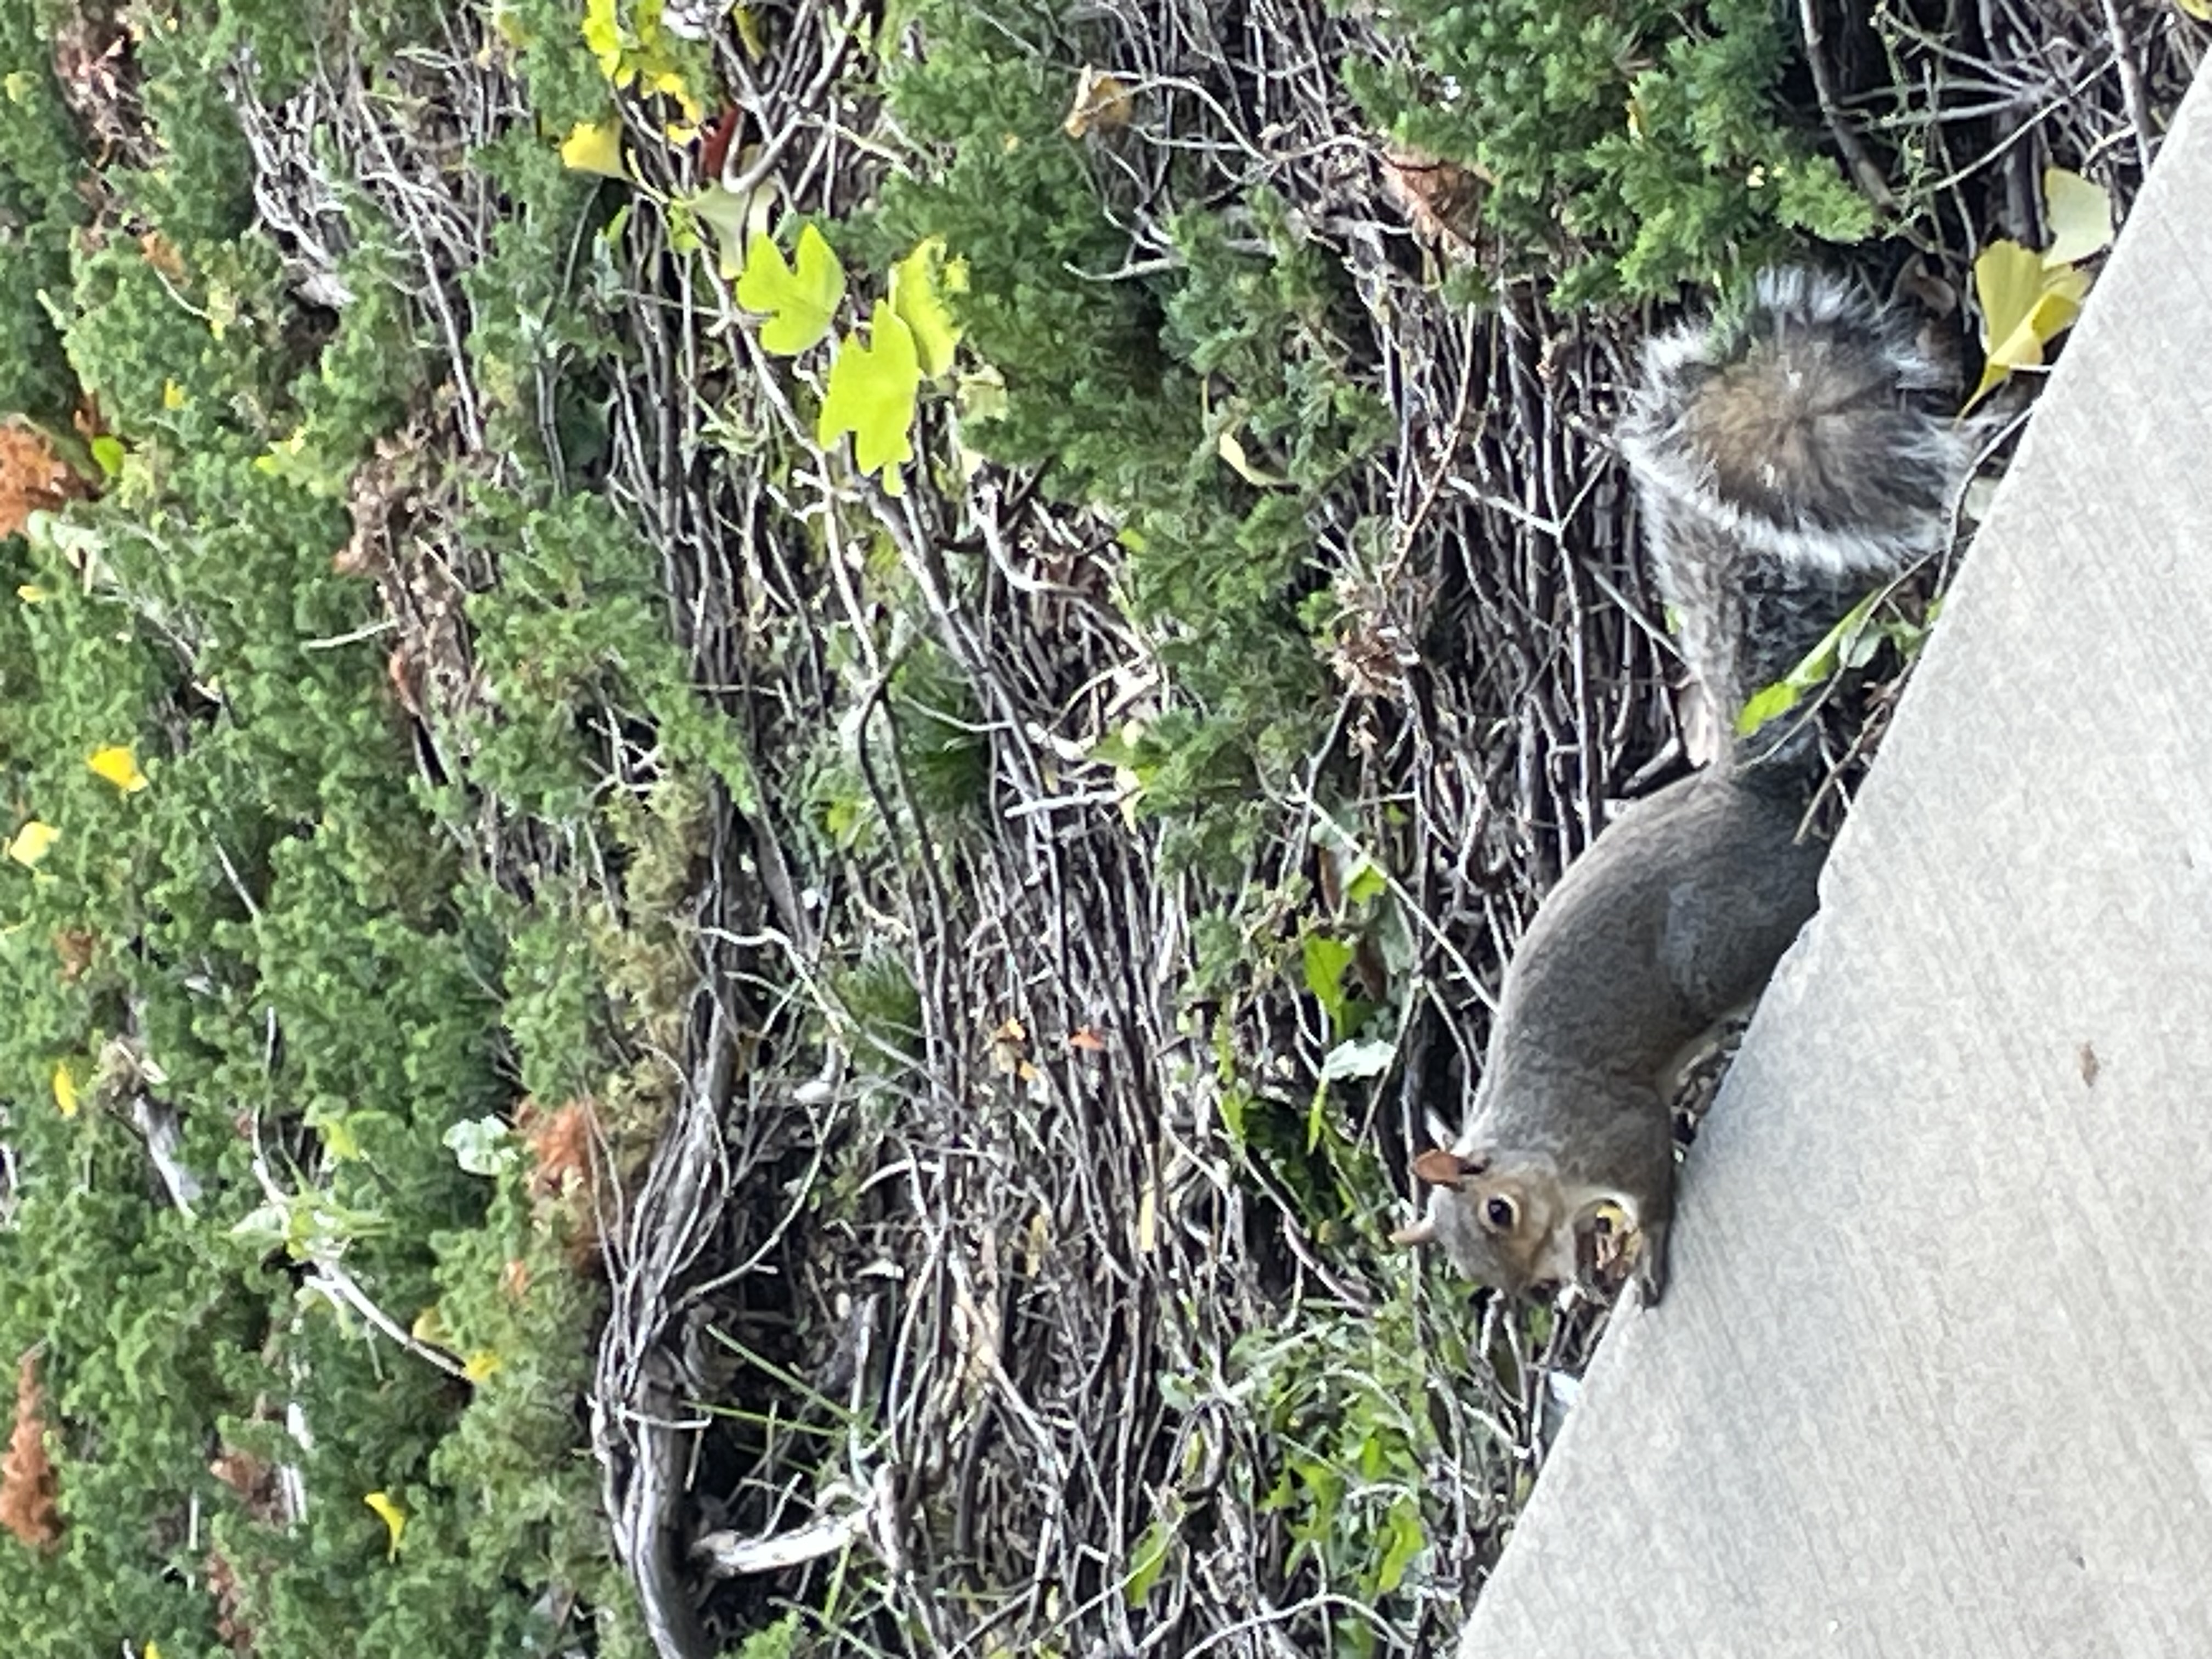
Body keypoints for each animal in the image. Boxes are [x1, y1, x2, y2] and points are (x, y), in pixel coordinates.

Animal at [1396, 268, 1968, 1304]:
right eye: (1475, 1268)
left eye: (1496, 1211)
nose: (1551, 1290)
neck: (1536, 1143)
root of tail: (1744, 790)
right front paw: (1601, 1268)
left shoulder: (1614, 1130)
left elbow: (1651, 1185)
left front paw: (1646, 1257)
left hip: (1715, 940)